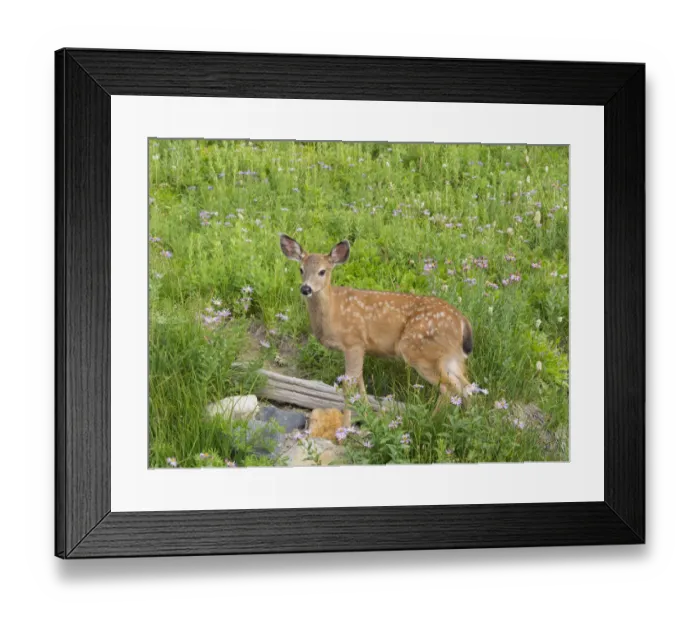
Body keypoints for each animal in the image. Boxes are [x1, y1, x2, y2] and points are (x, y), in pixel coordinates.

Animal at [279, 234, 474, 410]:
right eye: (301, 269)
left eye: (322, 271)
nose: (306, 288)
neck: (334, 312)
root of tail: (462, 321)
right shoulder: (360, 348)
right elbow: (361, 384)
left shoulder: (354, 342)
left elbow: (349, 386)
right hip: (451, 357)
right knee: (468, 386)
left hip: (421, 351)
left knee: (449, 388)